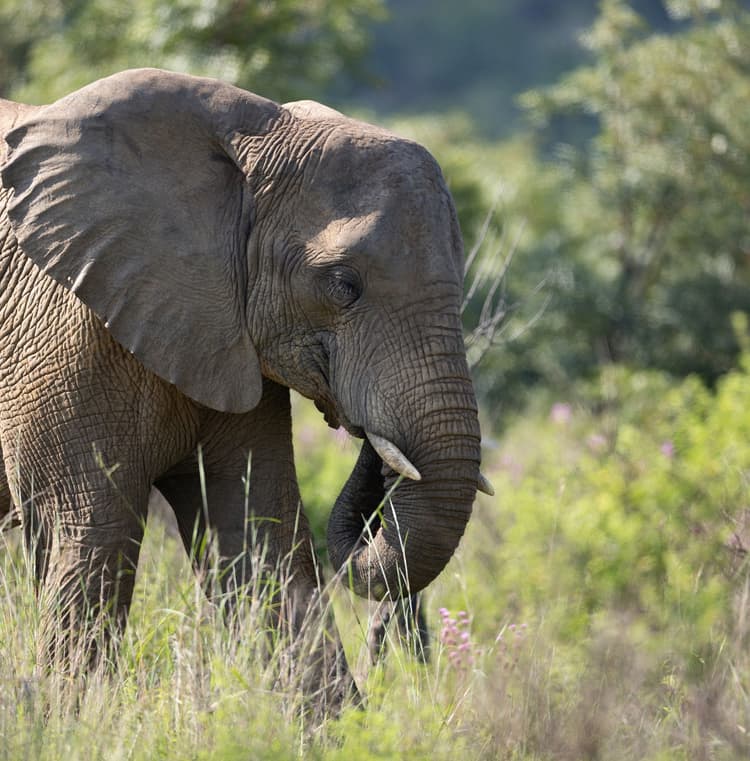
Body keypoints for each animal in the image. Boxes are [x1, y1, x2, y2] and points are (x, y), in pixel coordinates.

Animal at [0, 69, 490, 707]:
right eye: (343, 285)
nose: (374, 446)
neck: (251, 132)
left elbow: (259, 536)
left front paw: (338, 723)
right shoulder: (67, 334)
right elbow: (88, 534)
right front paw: (73, 717)